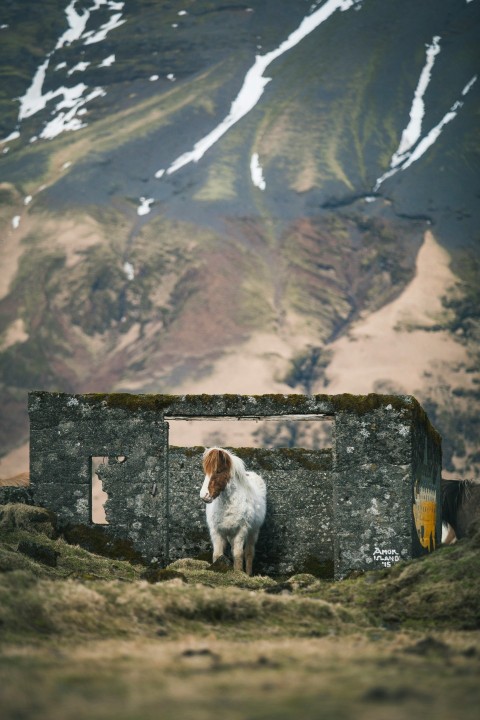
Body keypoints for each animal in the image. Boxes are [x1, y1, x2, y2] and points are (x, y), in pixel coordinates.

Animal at [200, 447, 266, 575]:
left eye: (218, 471)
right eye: (205, 472)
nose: (204, 496)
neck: (227, 506)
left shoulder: (241, 531)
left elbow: (238, 555)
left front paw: (239, 573)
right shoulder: (216, 531)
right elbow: (217, 555)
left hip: (253, 532)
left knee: (249, 553)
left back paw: (248, 574)